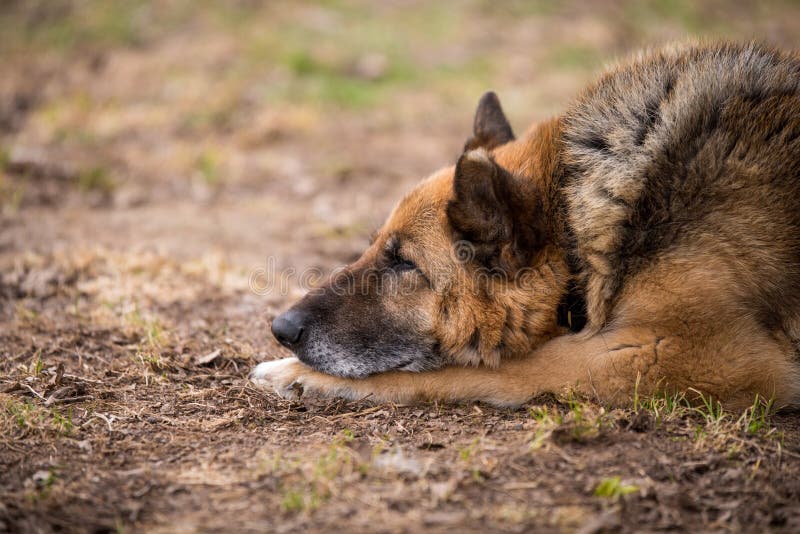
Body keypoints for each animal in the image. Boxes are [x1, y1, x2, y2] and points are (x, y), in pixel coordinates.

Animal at [250, 43, 800, 410]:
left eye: (404, 263)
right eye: (373, 247)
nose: (281, 329)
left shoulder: (683, 353)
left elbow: (485, 367)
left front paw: (297, 373)